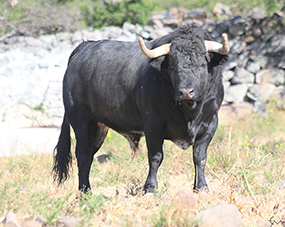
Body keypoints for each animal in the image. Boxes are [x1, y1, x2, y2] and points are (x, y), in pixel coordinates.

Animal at [51, 25, 229, 193]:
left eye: (202, 64)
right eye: (172, 65)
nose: (185, 92)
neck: (189, 113)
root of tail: (85, 47)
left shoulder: (210, 124)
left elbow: (199, 157)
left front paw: (201, 187)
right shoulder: (153, 125)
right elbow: (156, 157)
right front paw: (150, 187)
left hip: (98, 127)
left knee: (89, 156)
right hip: (81, 120)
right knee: (83, 155)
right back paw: (85, 191)